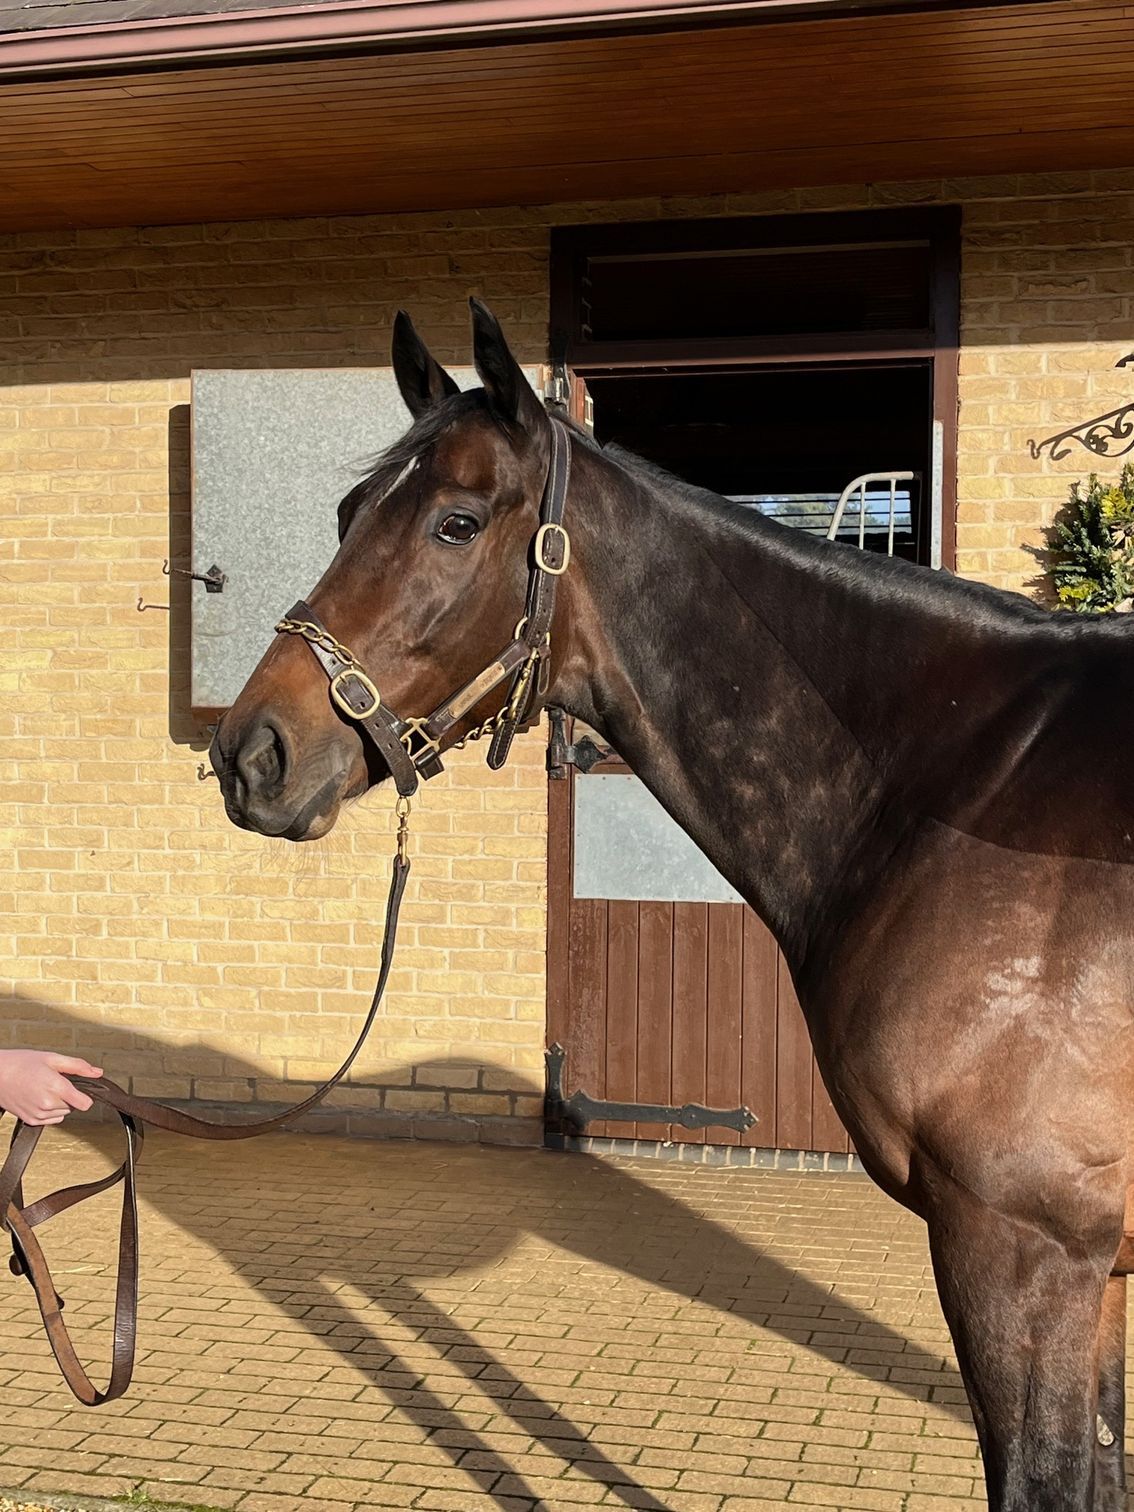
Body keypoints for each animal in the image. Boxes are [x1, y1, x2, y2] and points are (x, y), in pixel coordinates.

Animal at [211, 298, 1134, 1512]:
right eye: (346, 514)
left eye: (456, 523)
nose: (251, 754)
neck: (955, 785)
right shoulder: (1095, 1268)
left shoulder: (1028, 1248)